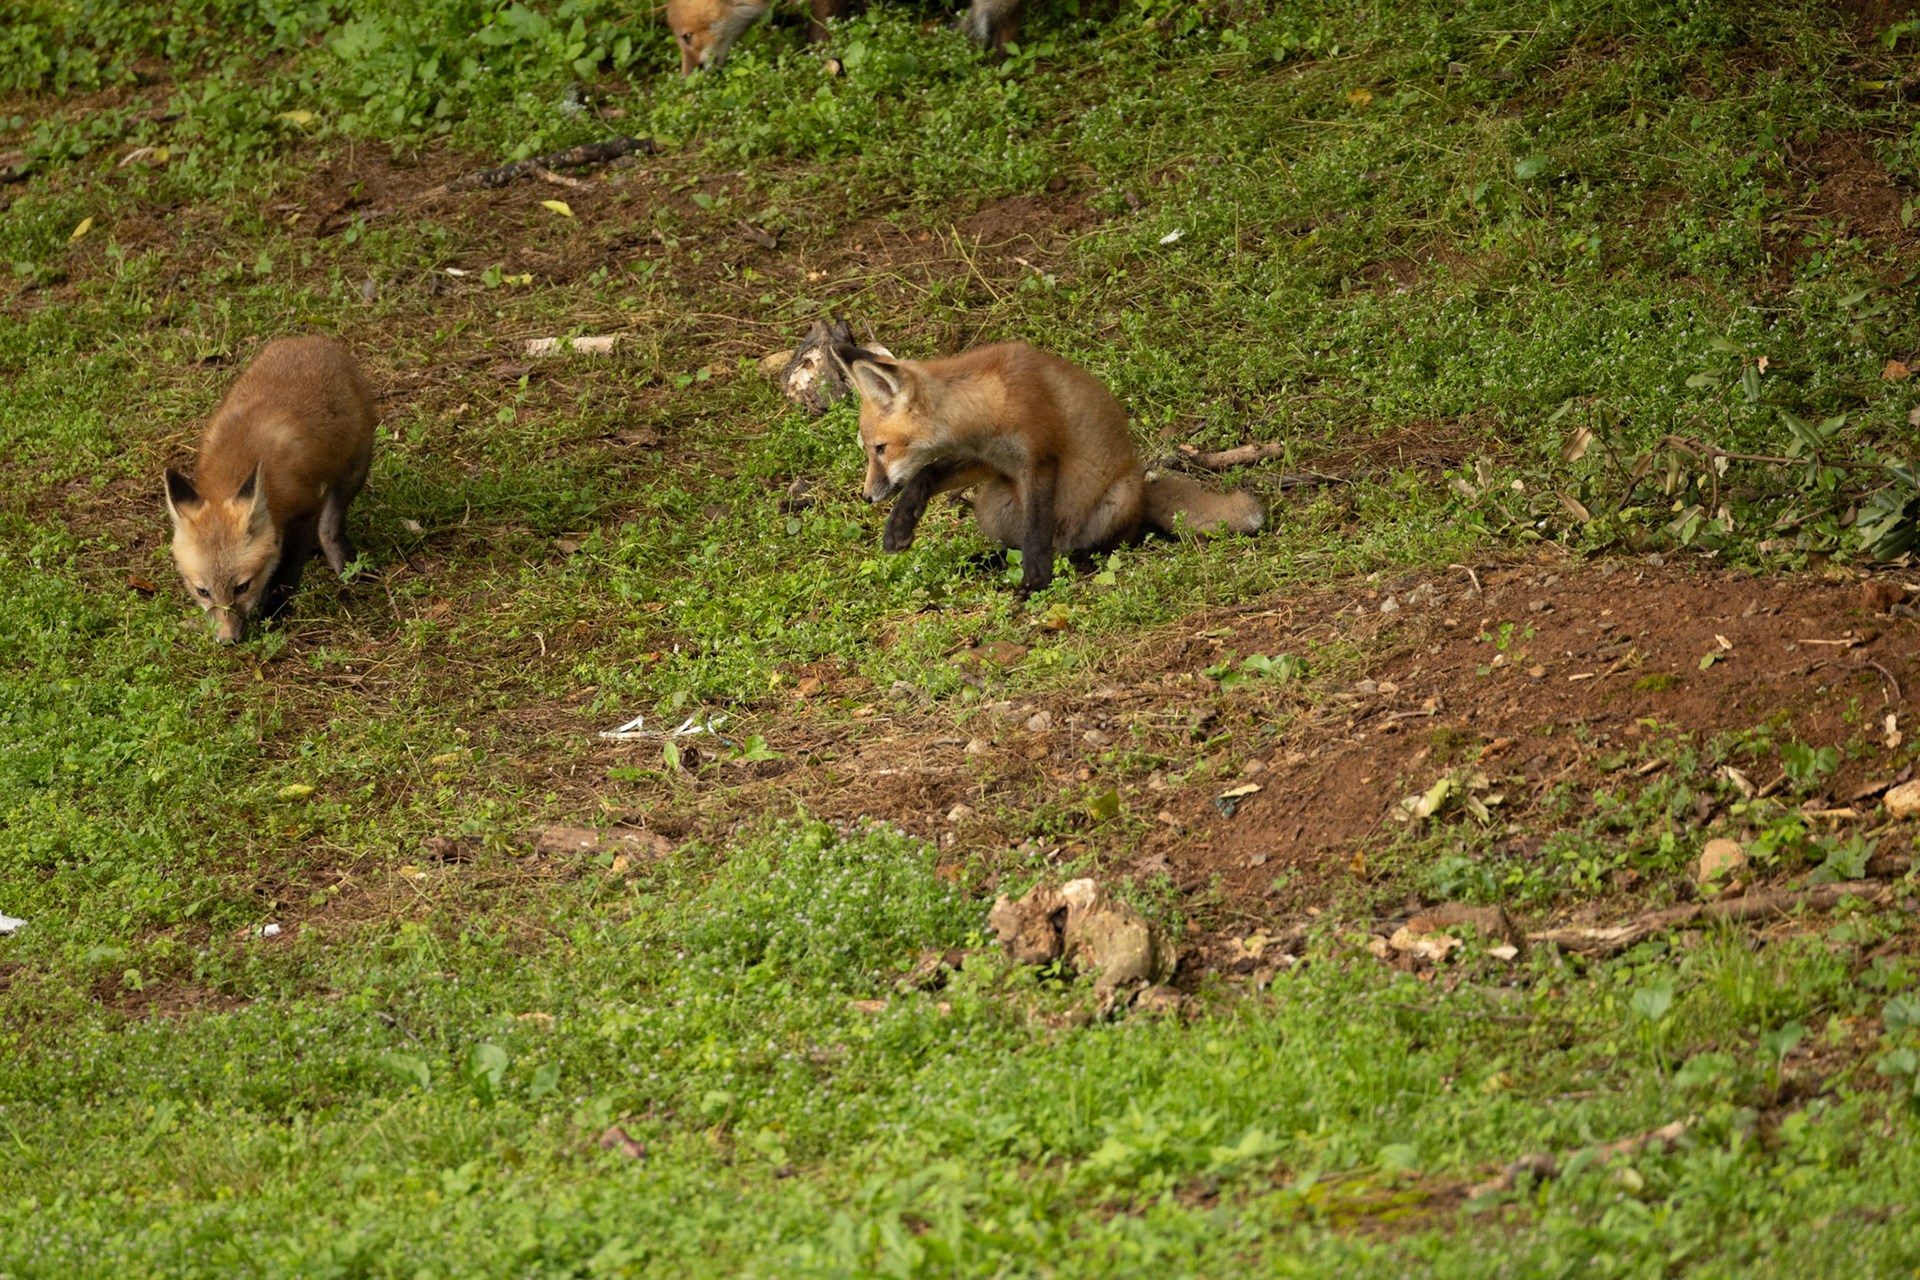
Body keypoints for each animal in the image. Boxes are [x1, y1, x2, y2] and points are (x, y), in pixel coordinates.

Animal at [162, 336, 378, 644]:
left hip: (354, 467)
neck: (236, 463)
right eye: (203, 591)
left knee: (330, 526)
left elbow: (287, 568)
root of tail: (311, 339)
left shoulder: (307, 507)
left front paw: (275, 611)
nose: (227, 641)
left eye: (242, 587)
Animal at [829, 341, 1263, 596]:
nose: (866, 496)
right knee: (1012, 545)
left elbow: (1037, 530)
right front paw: (900, 525)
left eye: (880, 449)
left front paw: (1035, 584)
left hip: (1118, 496)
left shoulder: (1040, 459)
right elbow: (926, 474)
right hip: (992, 499)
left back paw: (1083, 559)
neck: (986, 404)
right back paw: (986, 561)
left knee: (1115, 541)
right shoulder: (988, 459)